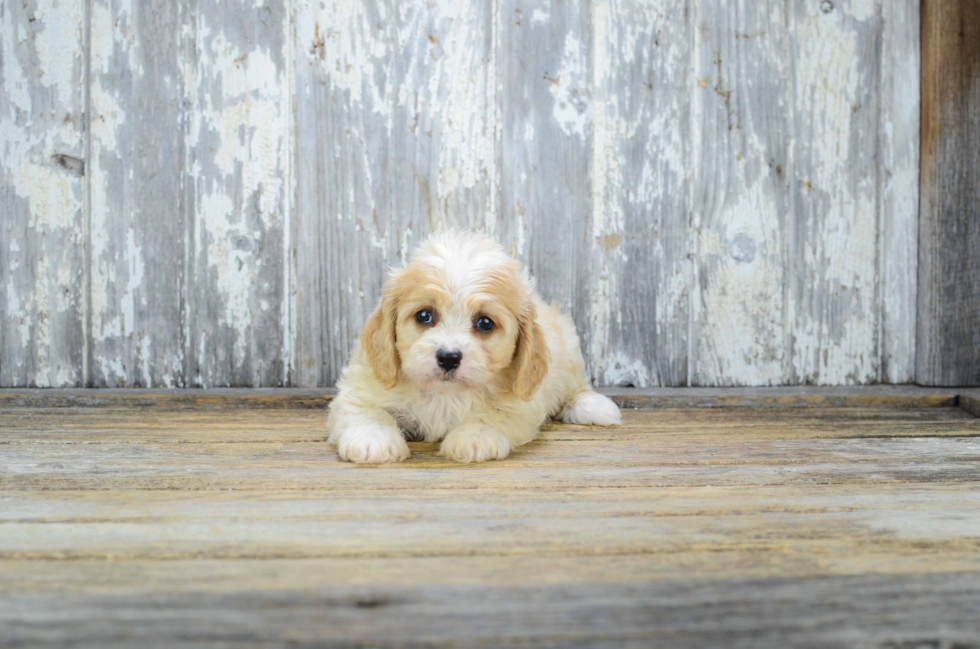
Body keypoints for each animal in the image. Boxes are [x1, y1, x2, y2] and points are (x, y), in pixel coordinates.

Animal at [330, 230, 620, 464]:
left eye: (485, 322)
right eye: (424, 315)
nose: (448, 357)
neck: (444, 395)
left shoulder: (521, 402)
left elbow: (491, 415)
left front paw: (474, 438)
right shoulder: (363, 385)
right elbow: (367, 410)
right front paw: (373, 440)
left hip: (568, 348)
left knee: (577, 385)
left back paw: (593, 406)